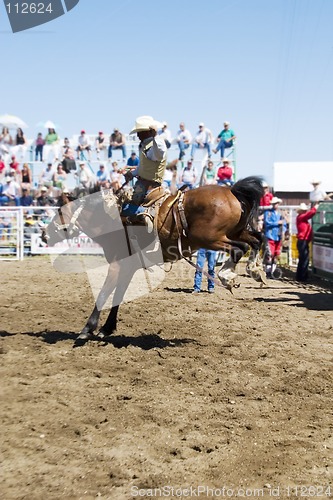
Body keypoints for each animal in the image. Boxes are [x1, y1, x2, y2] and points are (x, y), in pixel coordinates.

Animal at [42, 177, 264, 344]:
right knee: (257, 239)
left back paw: (228, 275)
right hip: (234, 232)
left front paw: (87, 329)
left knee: (240, 248)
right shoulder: (127, 268)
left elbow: (104, 293)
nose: (44, 235)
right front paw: (107, 328)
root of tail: (231, 192)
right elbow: (118, 296)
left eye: (59, 211)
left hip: (209, 238)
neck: (113, 220)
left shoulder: (116, 265)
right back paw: (255, 271)